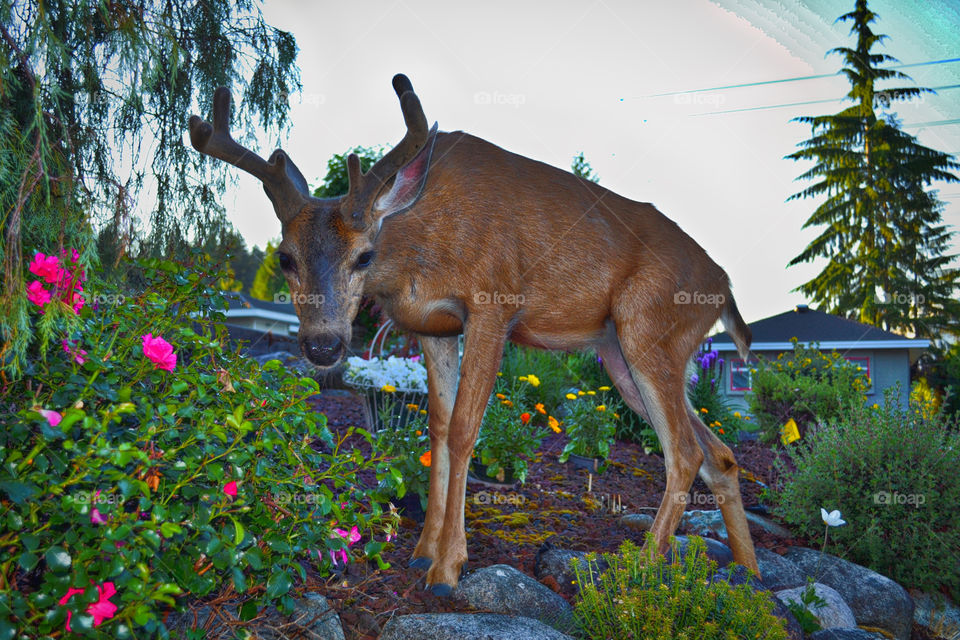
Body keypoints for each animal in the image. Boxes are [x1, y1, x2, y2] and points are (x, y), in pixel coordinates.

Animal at [186, 74, 756, 596]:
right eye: (285, 258)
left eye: (364, 256)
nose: (322, 344)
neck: (418, 246)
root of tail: (724, 285)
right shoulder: (434, 326)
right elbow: (436, 427)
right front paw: (422, 550)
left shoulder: (493, 303)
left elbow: (464, 429)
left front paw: (446, 568)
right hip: (621, 353)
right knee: (718, 452)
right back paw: (746, 572)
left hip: (648, 328)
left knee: (684, 451)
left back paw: (639, 570)